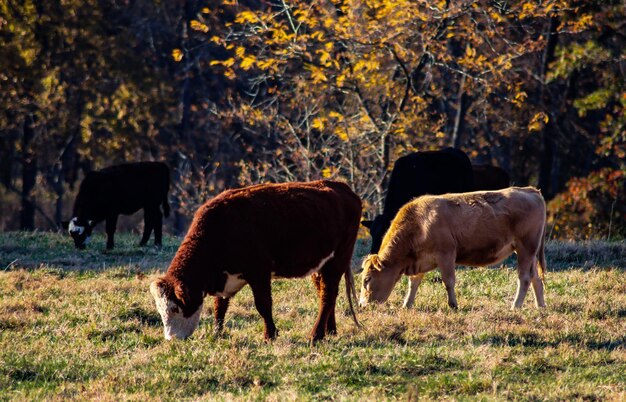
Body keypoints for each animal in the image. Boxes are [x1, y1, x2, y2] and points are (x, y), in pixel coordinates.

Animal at [150, 181, 360, 340]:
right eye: (160, 311)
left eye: (175, 308)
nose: (171, 339)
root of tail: (342, 188)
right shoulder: (226, 278)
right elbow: (220, 306)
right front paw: (217, 333)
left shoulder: (259, 272)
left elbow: (263, 305)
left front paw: (270, 335)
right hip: (320, 265)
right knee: (326, 292)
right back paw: (330, 331)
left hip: (338, 259)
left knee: (327, 295)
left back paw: (315, 335)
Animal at [358, 187, 544, 310]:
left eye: (367, 279)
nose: (361, 305)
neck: (420, 224)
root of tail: (530, 191)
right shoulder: (420, 260)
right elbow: (414, 283)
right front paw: (407, 305)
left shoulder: (446, 254)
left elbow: (448, 281)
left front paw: (453, 305)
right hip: (531, 253)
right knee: (536, 278)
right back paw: (540, 306)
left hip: (525, 248)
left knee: (524, 277)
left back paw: (515, 306)